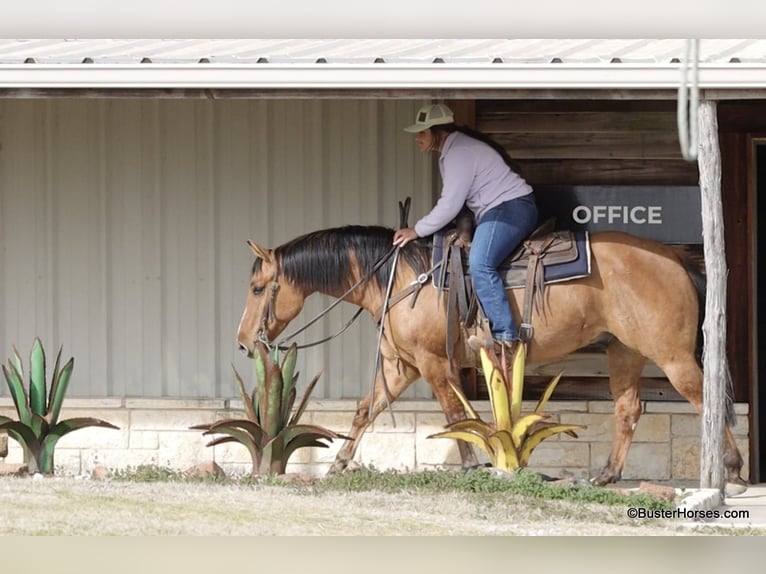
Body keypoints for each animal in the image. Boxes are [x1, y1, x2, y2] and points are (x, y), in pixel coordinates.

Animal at [236, 224, 746, 491]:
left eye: (258, 288)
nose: (243, 342)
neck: (401, 278)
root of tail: (677, 260)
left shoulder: (432, 363)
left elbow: (453, 412)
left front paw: (468, 464)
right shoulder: (399, 367)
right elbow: (365, 411)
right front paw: (339, 465)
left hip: (672, 355)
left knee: (706, 400)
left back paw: (732, 473)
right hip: (625, 352)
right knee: (627, 408)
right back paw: (606, 475)